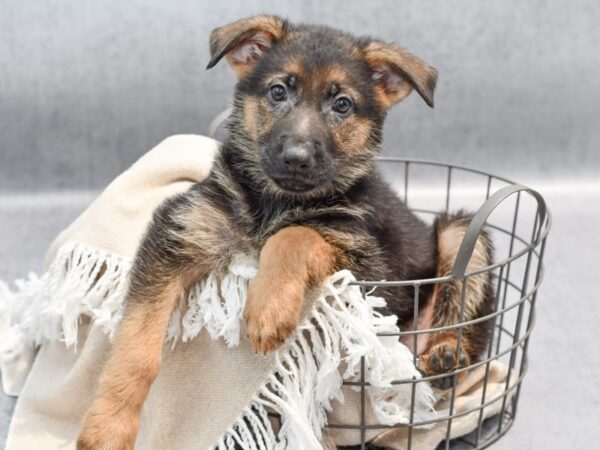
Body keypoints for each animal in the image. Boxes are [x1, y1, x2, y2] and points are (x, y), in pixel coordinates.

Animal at [78, 15, 492, 448]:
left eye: (342, 104)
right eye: (278, 91)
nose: (297, 158)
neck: (277, 202)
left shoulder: (370, 267)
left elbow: (295, 236)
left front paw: (268, 308)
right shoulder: (178, 234)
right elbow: (135, 346)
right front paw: (108, 426)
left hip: (461, 234)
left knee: (468, 322)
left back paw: (447, 352)